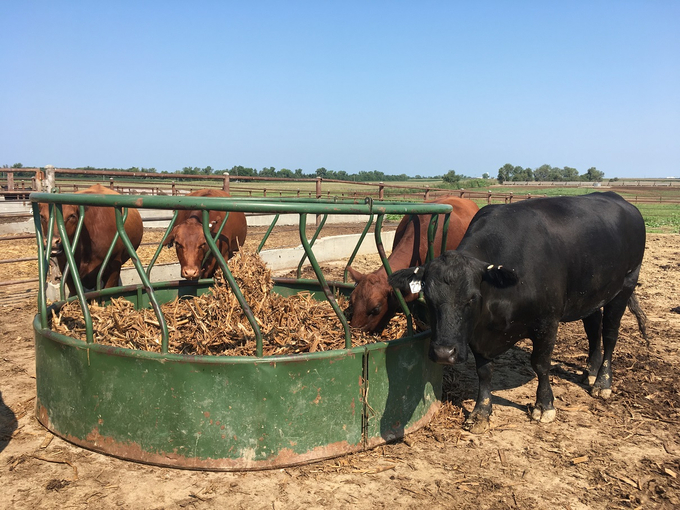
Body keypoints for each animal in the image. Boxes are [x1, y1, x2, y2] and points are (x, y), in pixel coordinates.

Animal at [390, 193, 644, 432]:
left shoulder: (547, 323)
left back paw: (602, 382)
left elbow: (540, 364)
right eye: (428, 297)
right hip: (592, 293)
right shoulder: (477, 333)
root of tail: (620, 200)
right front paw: (481, 412)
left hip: (625, 285)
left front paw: (544, 405)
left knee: (610, 334)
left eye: (472, 298)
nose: (444, 353)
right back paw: (590, 371)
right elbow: (484, 370)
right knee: (593, 327)